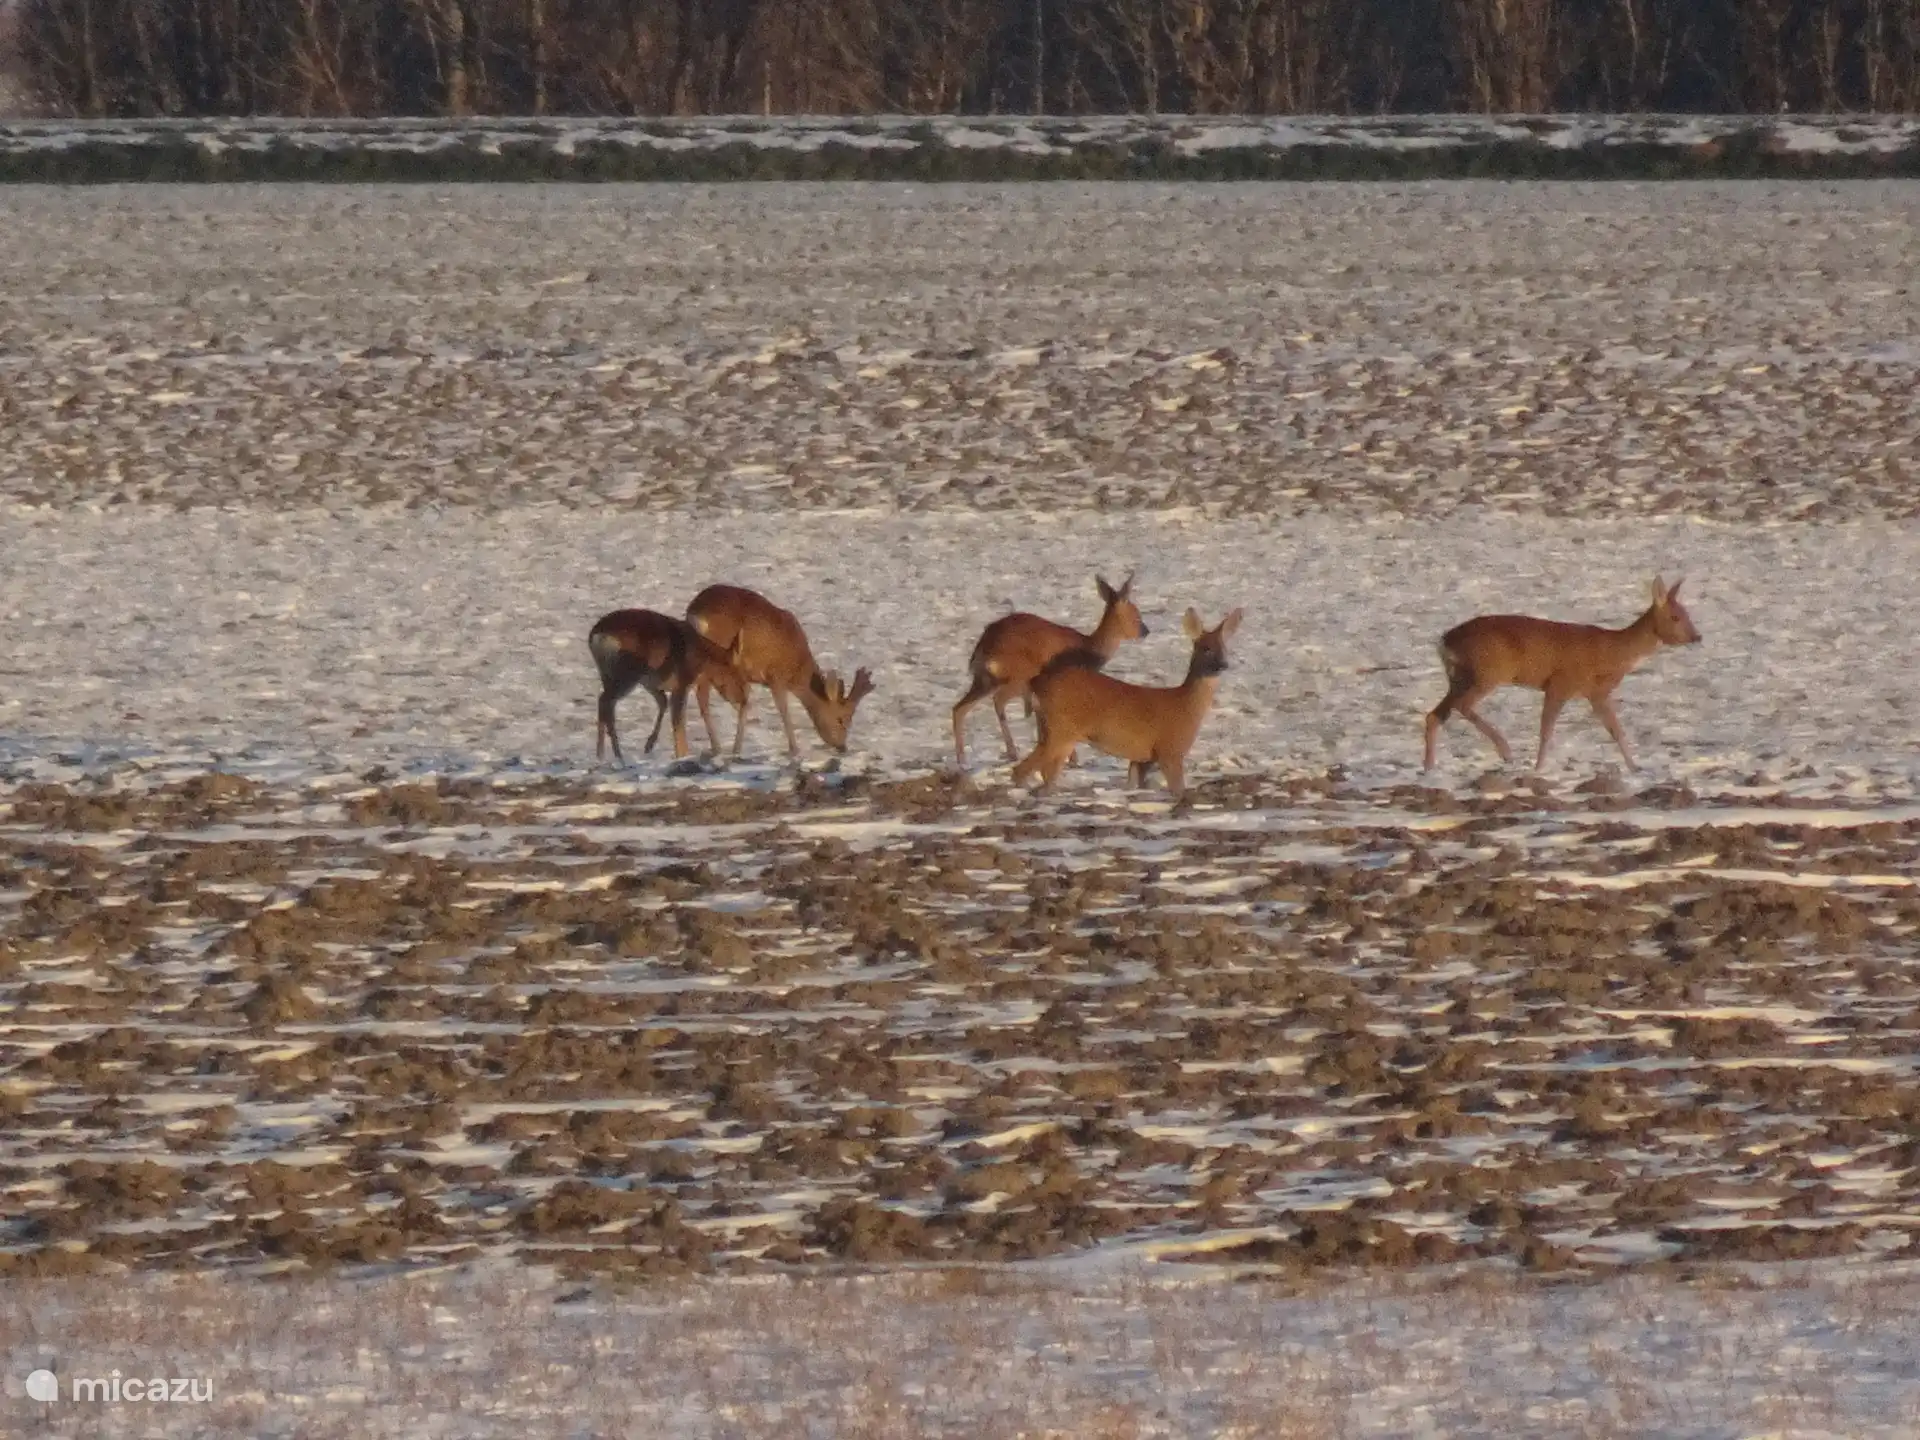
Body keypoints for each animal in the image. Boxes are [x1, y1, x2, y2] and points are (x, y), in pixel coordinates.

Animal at [588, 609, 747, 763]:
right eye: (738, 675)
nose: (744, 700)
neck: (703, 659)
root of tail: (598, 635)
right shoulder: (682, 683)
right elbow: (678, 721)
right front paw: (683, 755)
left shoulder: (651, 683)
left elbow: (664, 703)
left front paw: (649, 745)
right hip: (627, 675)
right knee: (605, 702)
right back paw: (612, 755)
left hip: (608, 675)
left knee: (605, 704)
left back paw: (605, 755)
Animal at [684, 583, 874, 759]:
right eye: (842, 719)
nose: (842, 747)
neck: (798, 671)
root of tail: (697, 613)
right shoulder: (775, 675)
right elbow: (782, 709)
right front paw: (794, 749)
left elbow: (744, 704)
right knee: (702, 697)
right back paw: (716, 747)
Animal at [952, 573, 1149, 766]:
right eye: (1135, 614)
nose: (1146, 631)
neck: (1089, 649)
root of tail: (983, 646)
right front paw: (1072, 759)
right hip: (1020, 674)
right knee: (997, 700)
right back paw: (1010, 753)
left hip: (984, 679)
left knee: (959, 708)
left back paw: (963, 759)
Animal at [1012, 607, 1242, 800]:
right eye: (1206, 648)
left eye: (1225, 648)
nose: (1223, 665)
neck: (1185, 704)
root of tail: (1037, 684)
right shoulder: (1170, 749)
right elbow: (1178, 789)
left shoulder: (1141, 758)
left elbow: (1132, 783)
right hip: (1059, 729)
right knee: (1021, 771)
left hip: (1055, 732)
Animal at [1422, 576, 1701, 773]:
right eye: (1675, 617)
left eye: (1688, 614)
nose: (1697, 637)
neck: (1613, 652)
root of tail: (1444, 641)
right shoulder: (1561, 683)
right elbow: (1547, 730)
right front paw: (1538, 769)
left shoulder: (1595, 693)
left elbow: (1616, 730)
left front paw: (1635, 768)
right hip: (1488, 672)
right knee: (1461, 706)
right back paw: (1506, 751)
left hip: (1459, 678)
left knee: (1434, 715)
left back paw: (1429, 768)